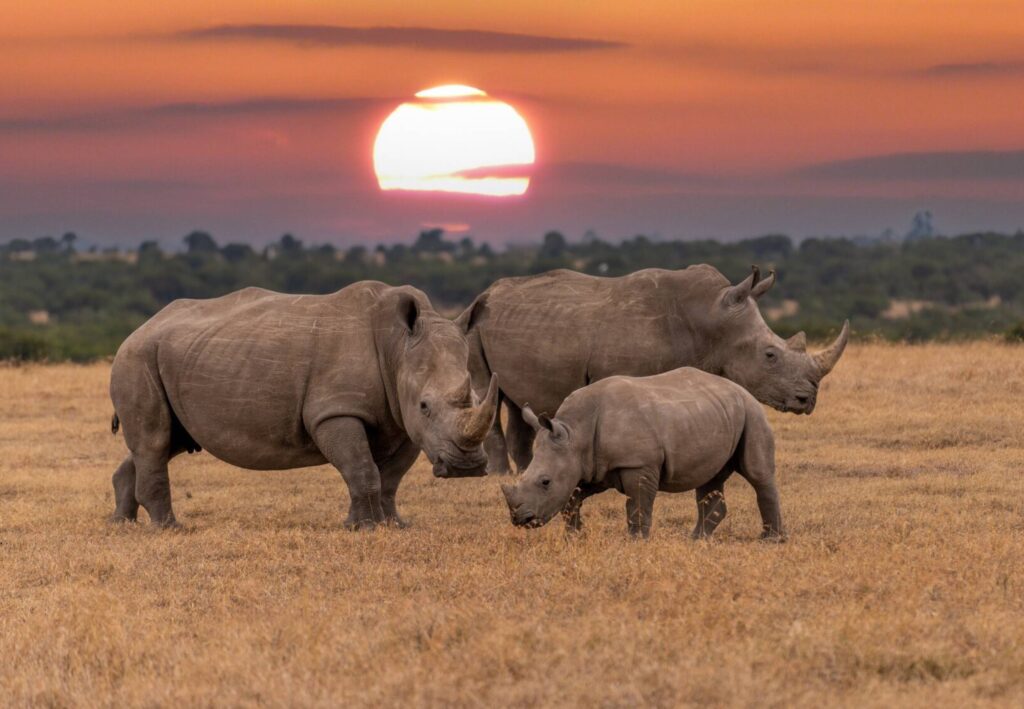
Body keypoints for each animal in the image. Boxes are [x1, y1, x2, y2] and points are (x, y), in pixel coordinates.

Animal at [108, 282, 498, 529]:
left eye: (479, 398)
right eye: (425, 405)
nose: (467, 467)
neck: (397, 347)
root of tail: (141, 327)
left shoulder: (401, 421)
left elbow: (390, 478)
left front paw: (391, 525)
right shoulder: (335, 410)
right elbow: (362, 469)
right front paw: (365, 528)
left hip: (174, 356)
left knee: (165, 442)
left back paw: (121, 524)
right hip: (137, 357)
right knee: (155, 440)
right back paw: (169, 529)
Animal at [457, 264, 848, 474]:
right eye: (770, 355)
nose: (807, 400)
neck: (711, 320)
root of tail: (485, 293)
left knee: (515, 398)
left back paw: (525, 470)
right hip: (474, 325)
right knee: (489, 391)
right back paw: (498, 475)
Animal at [500, 367, 783, 540]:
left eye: (545, 482)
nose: (520, 519)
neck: (574, 432)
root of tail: (741, 388)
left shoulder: (638, 464)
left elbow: (637, 505)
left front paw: (636, 542)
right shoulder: (590, 466)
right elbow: (572, 500)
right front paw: (575, 536)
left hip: (751, 412)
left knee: (758, 475)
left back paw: (771, 540)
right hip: (715, 413)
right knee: (709, 479)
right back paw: (696, 540)